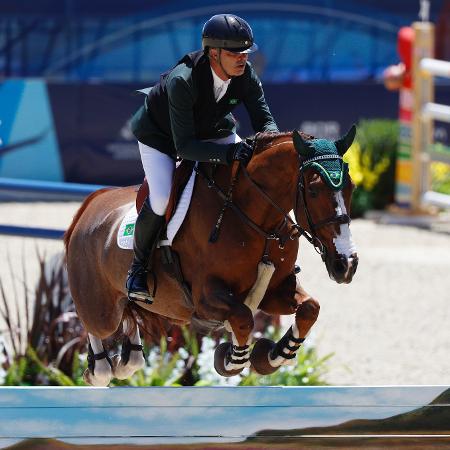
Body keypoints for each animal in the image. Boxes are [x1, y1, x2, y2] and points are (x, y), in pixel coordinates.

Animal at [63, 128, 358, 384]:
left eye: (351, 187)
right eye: (314, 190)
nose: (346, 265)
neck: (257, 221)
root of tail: (90, 205)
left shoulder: (275, 290)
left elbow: (309, 308)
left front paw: (272, 357)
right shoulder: (206, 298)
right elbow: (243, 318)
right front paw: (231, 361)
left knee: (129, 320)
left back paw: (127, 359)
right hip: (100, 308)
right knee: (97, 327)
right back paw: (100, 370)